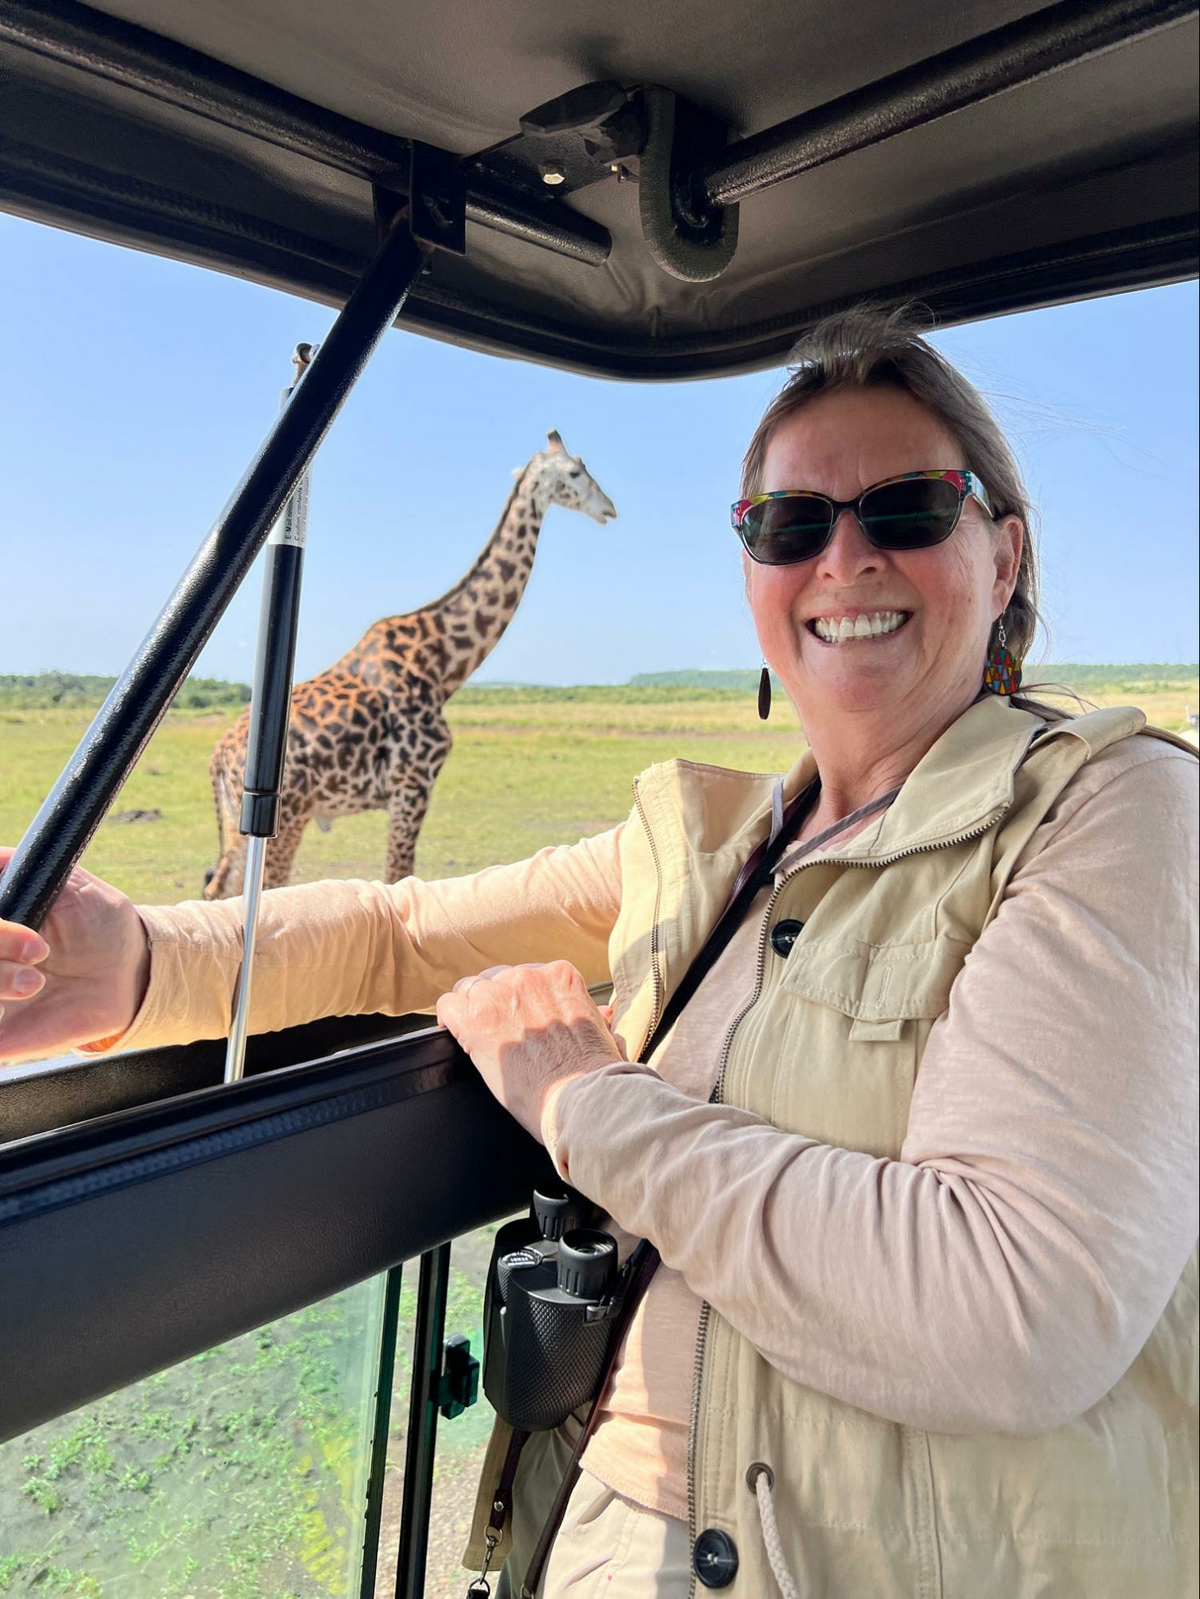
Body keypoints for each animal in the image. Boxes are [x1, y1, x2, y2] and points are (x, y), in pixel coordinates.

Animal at [202, 432, 616, 898]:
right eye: (575, 472)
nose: (608, 508)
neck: (442, 662)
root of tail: (217, 759)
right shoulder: (412, 785)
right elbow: (398, 876)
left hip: (240, 818)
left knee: (219, 887)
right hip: (288, 813)